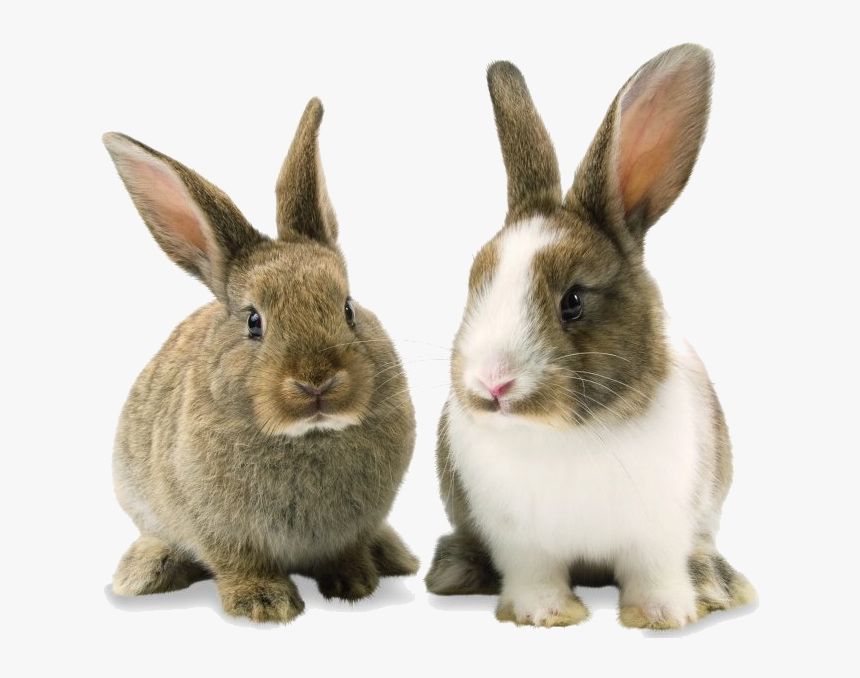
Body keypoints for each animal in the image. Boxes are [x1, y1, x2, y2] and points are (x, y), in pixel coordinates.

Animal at [103, 98, 418, 624]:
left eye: (348, 308)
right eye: (254, 321)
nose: (316, 382)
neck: (308, 435)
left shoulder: (353, 527)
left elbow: (347, 550)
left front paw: (354, 584)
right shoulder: (220, 529)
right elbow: (239, 562)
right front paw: (266, 604)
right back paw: (144, 573)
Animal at [425, 44, 756, 629]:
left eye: (573, 301)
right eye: (474, 281)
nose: (492, 384)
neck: (564, 436)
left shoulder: (659, 531)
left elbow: (655, 572)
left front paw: (664, 615)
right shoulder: (520, 543)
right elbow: (535, 575)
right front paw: (544, 614)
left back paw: (715, 583)